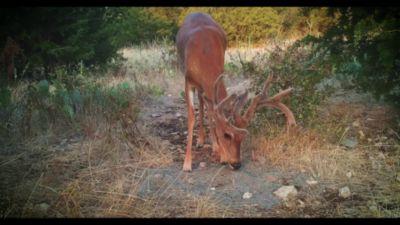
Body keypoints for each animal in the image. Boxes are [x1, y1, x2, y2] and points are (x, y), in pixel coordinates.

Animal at [177, 12, 296, 171]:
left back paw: (211, 144)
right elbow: (191, 116)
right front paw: (187, 163)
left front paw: (220, 153)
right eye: (227, 135)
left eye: (242, 138)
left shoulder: (218, 73)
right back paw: (201, 141)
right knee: (202, 103)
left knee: (205, 104)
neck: (203, 53)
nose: (236, 163)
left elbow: (212, 112)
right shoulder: (187, 80)